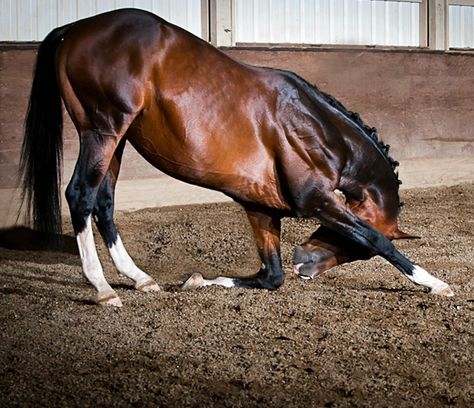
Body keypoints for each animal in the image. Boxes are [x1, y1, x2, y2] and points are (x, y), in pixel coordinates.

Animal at [20, 8, 454, 306]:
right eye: (351, 250)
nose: (306, 267)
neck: (317, 128)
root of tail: (76, 28)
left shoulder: (261, 208)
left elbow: (269, 276)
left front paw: (199, 281)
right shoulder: (316, 200)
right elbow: (379, 239)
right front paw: (435, 283)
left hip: (118, 140)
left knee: (104, 203)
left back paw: (139, 278)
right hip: (103, 131)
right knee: (81, 196)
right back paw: (103, 288)